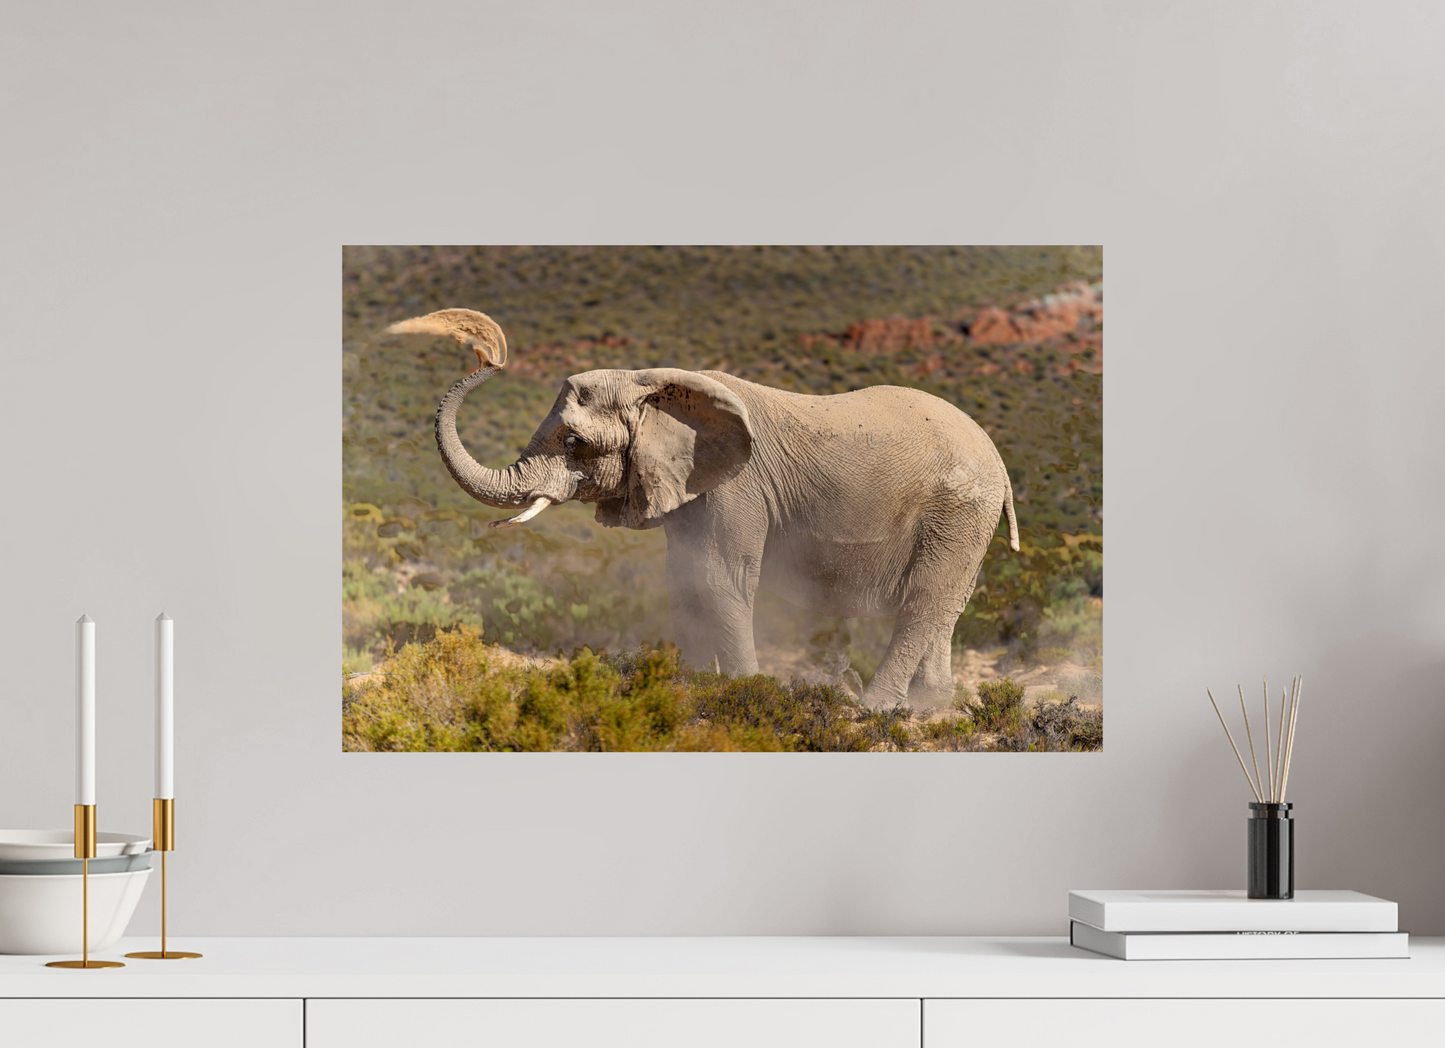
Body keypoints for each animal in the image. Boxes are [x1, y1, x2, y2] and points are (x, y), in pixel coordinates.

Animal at [387, 307, 1019, 708]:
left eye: (573, 441)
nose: (487, 355)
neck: (652, 383)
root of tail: (997, 458)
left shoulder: (736, 489)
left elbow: (720, 582)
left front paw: (743, 695)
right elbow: (685, 583)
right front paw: (689, 693)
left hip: (958, 510)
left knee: (922, 605)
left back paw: (875, 710)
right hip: (963, 521)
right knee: (944, 608)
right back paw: (932, 708)